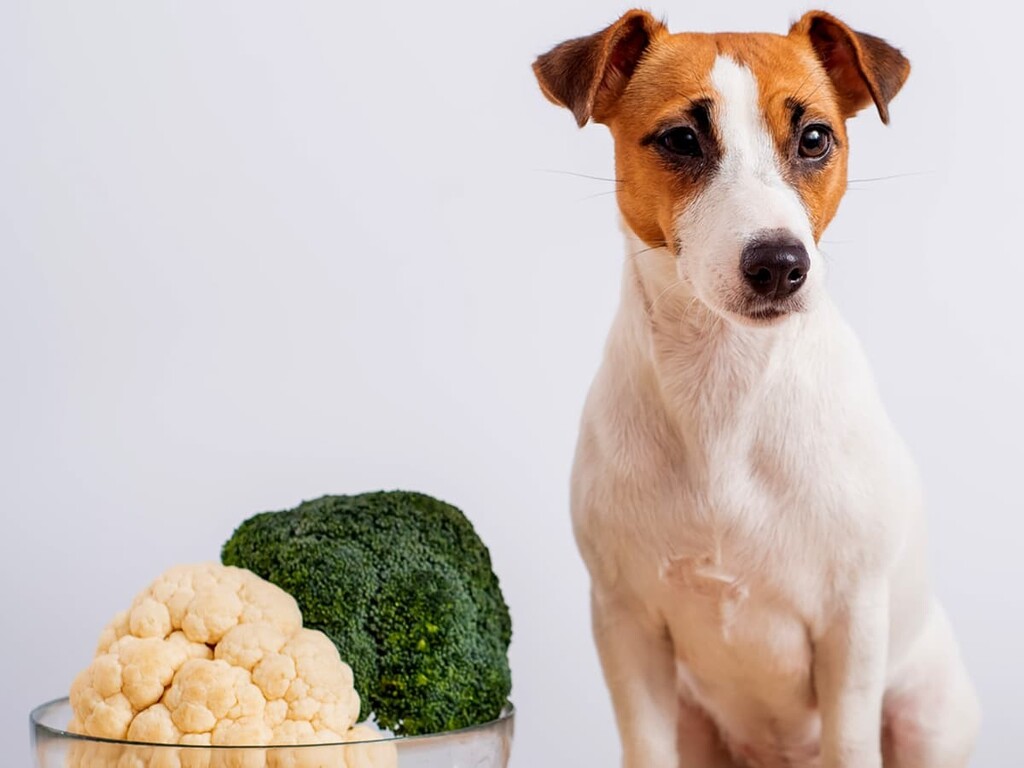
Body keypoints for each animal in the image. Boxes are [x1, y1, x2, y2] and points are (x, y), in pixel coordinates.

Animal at [532, 10, 978, 768]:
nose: (778, 262)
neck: (725, 383)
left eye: (815, 138)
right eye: (681, 139)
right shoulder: (627, 628)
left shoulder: (852, 628)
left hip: (926, 713)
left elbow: (850, 741)